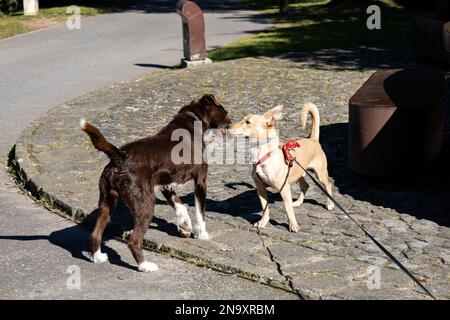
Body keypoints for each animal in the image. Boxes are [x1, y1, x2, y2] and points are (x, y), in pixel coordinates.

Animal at [81, 94, 230, 272]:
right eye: (225, 112)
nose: (231, 122)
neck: (193, 118)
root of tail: (120, 157)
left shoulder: (165, 183)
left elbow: (179, 204)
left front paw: (184, 225)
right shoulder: (200, 180)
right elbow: (200, 211)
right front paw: (201, 234)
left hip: (107, 202)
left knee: (95, 233)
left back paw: (98, 257)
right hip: (145, 204)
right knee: (134, 240)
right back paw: (144, 266)